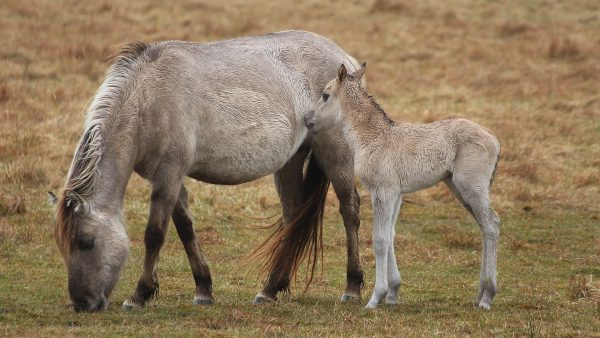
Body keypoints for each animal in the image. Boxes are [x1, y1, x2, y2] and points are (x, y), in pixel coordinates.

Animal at [52, 31, 366, 312]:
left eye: (86, 242)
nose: (82, 304)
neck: (147, 99)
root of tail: (346, 61)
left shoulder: (169, 174)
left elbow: (155, 233)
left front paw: (139, 295)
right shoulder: (169, 178)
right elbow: (185, 228)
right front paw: (203, 289)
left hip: (336, 154)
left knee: (350, 209)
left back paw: (352, 287)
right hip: (290, 161)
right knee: (292, 218)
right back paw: (271, 288)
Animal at [304, 64, 502, 310]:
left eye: (325, 95)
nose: (307, 119)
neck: (373, 137)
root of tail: (494, 140)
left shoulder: (383, 190)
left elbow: (380, 239)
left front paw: (375, 298)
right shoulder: (395, 193)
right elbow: (390, 234)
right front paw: (392, 294)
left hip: (472, 187)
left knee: (492, 224)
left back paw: (487, 297)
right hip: (460, 189)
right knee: (484, 227)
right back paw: (479, 294)